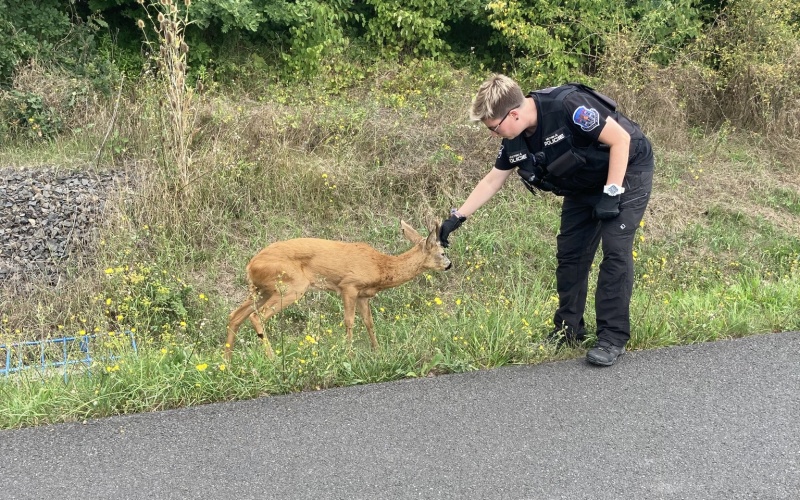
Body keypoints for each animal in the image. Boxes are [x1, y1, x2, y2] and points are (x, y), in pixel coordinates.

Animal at [225, 221, 450, 362]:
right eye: (442, 252)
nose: (449, 264)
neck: (381, 266)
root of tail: (250, 266)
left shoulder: (363, 295)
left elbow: (369, 322)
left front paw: (377, 351)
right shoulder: (348, 286)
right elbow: (349, 321)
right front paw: (348, 354)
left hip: (263, 290)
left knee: (235, 315)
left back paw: (227, 361)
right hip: (291, 286)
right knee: (256, 316)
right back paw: (272, 358)